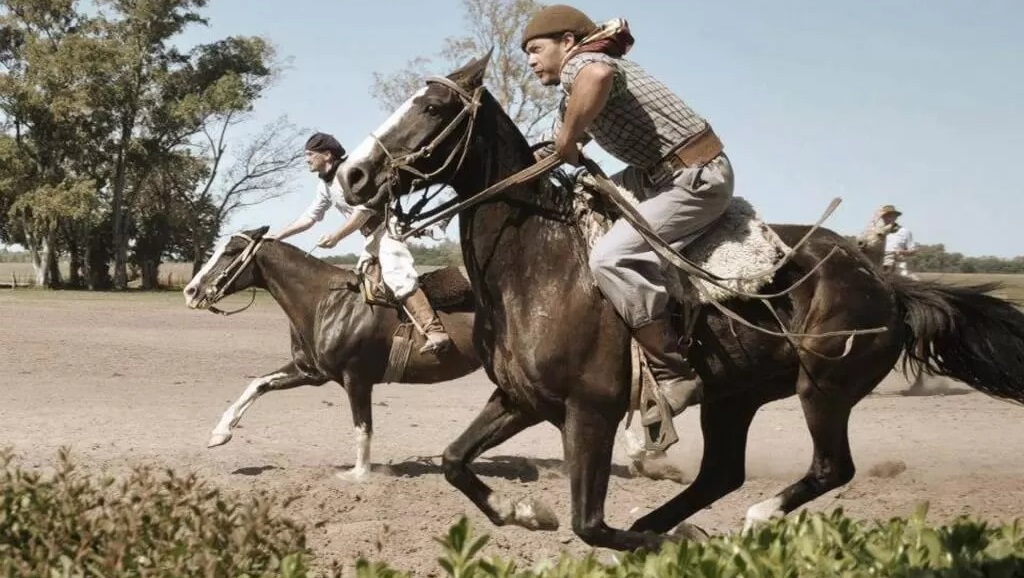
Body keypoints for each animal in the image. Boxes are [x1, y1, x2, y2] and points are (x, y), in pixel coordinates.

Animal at [181, 228, 483, 481]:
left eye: (230, 252)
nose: (191, 291)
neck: (326, 303)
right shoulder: (310, 371)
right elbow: (258, 384)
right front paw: (220, 433)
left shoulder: (356, 378)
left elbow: (362, 427)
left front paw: (359, 474)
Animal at [335, 50, 1024, 549]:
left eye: (431, 106)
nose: (353, 175)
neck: (536, 265)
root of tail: (888, 286)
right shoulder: (519, 398)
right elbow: (455, 460)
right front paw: (524, 510)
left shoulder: (591, 411)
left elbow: (589, 524)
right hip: (736, 397)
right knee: (722, 471)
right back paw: (677, 521)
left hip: (824, 389)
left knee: (831, 469)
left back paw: (751, 519)